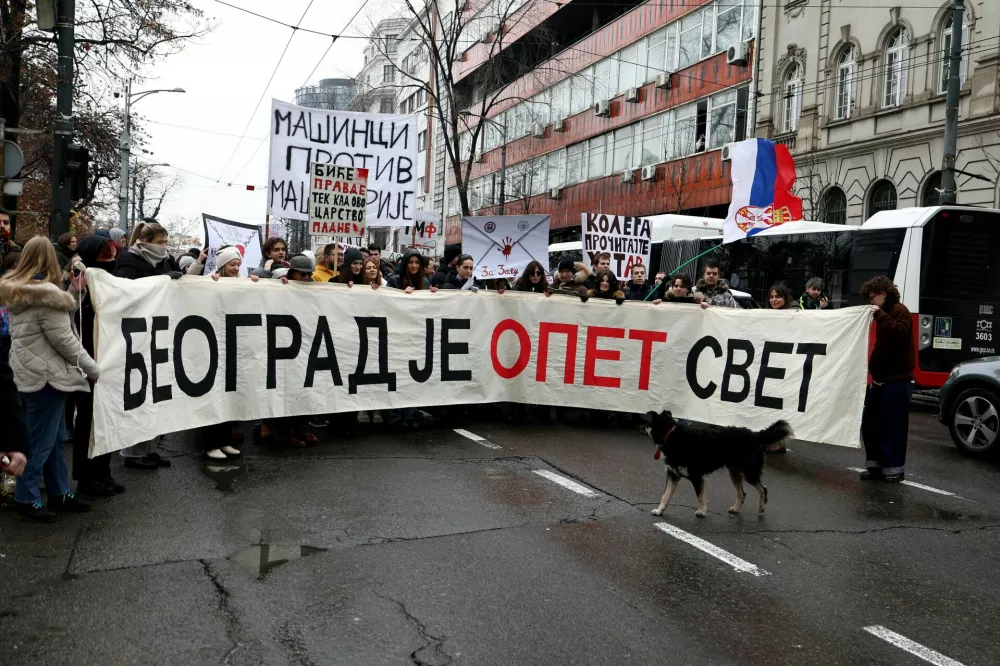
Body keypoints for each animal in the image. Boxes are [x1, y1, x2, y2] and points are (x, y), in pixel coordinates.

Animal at [644, 410, 792, 520]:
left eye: (647, 421)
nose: (641, 422)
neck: (672, 435)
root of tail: (754, 435)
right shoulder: (673, 475)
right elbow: (665, 496)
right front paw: (659, 511)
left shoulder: (696, 477)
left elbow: (700, 496)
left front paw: (702, 511)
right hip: (734, 472)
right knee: (742, 493)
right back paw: (735, 509)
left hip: (748, 471)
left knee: (763, 489)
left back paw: (761, 506)